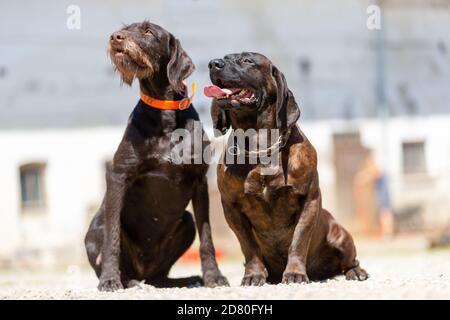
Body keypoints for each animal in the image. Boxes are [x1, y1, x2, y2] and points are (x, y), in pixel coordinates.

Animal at [85, 21, 229, 292]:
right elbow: (112, 237)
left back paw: (186, 280)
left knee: (159, 277)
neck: (165, 117)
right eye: (125, 28)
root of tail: (143, 271)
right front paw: (109, 280)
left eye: (148, 31)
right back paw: (124, 279)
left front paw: (213, 276)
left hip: (185, 224)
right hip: (98, 227)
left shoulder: (200, 182)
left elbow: (207, 236)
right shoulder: (118, 175)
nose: (115, 37)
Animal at [206, 52, 368, 284]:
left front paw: (294, 272)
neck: (260, 148)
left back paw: (355, 271)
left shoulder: (309, 200)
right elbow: (248, 246)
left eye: (247, 61)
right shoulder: (232, 207)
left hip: (340, 234)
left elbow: (298, 241)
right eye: (225, 57)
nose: (213, 64)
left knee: (350, 259)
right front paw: (254, 274)